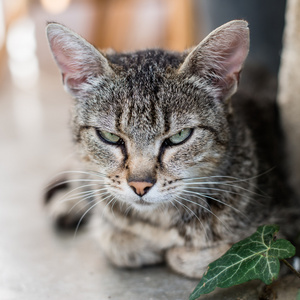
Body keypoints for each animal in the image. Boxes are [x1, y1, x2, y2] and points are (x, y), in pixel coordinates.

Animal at [44, 20, 298, 278]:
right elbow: (114, 240)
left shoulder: (284, 231)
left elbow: (215, 256)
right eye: (110, 137)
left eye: (179, 137)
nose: (140, 185)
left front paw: (175, 253)